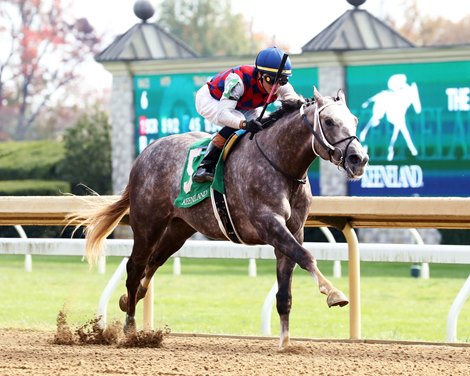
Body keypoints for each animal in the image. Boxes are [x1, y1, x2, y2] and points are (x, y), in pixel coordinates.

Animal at [79, 87, 370, 350]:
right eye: (329, 121)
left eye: (354, 119)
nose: (359, 158)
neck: (281, 165)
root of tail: (145, 153)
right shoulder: (269, 224)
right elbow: (307, 256)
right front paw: (335, 294)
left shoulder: (293, 231)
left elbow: (285, 291)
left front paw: (286, 343)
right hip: (147, 223)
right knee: (135, 267)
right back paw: (130, 328)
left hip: (179, 228)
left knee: (153, 262)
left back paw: (130, 299)